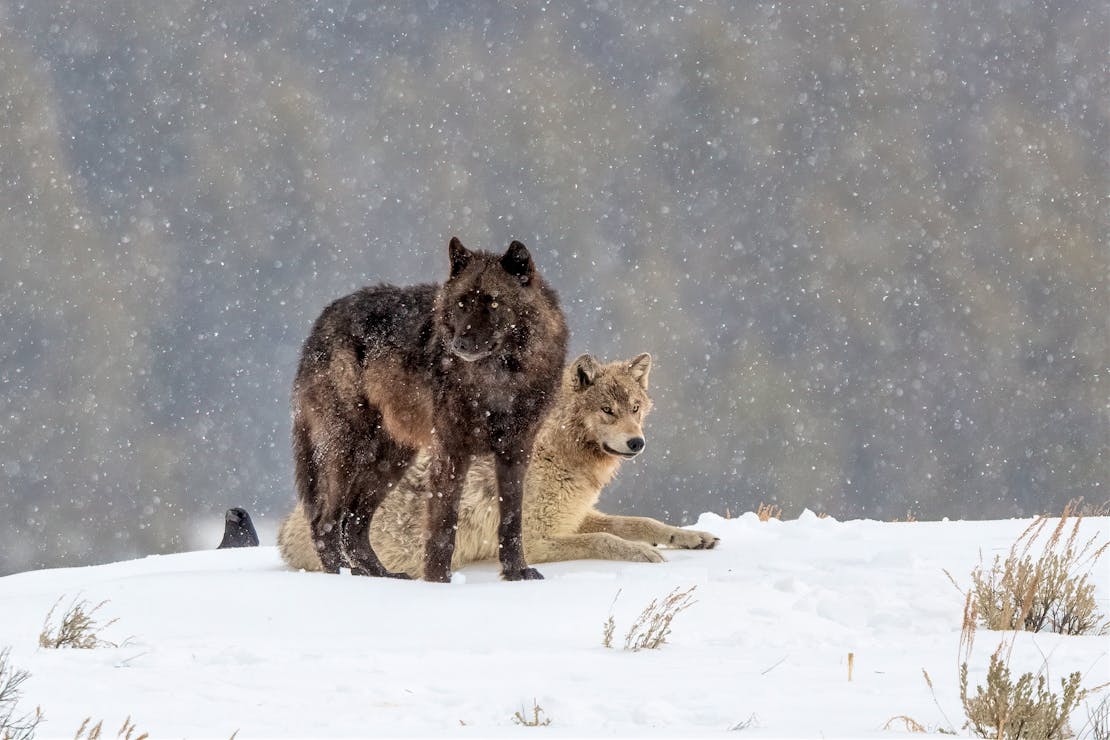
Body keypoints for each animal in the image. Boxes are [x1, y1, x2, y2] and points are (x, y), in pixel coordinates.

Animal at [277, 355, 719, 576]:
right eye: (607, 410)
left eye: (635, 408)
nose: (636, 442)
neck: (554, 450)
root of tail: (285, 526)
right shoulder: (537, 538)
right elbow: (606, 540)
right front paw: (643, 554)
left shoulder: (574, 516)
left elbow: (639, 522)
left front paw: (690, 537)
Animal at [290, 240, 568, 581]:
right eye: (461, 303)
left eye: (492, 303)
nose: (460, 345)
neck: (498, 381)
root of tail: (322, 319)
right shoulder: (451, 450)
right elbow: (444, 522)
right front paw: (438, 581)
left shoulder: (516, 452)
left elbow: (511, 520)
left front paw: (517, 573)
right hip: (348, 450)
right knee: (325, 521)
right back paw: (340, 576)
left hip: (391, 460)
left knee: (353, 523)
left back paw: (380, 575)